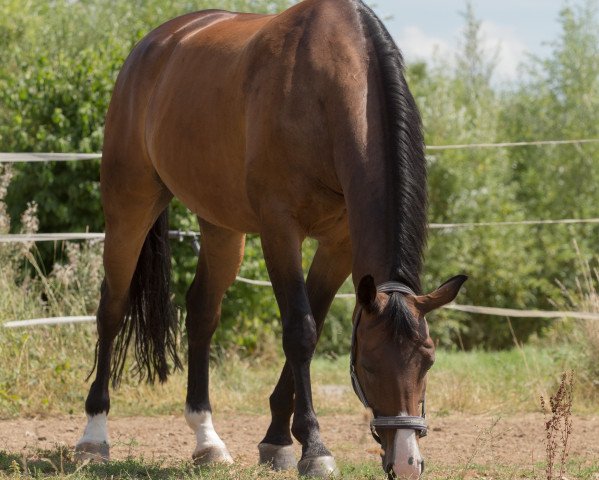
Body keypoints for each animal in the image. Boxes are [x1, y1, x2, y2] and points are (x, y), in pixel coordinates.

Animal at [75, 0, 468, 476]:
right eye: (370, 365)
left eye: (427, 360)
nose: (407, 461)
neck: (326, 89)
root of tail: (152, 46)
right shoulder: (280, 230)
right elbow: (300, 330)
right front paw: (314, 448)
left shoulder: (340, 244)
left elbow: (314, 323)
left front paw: (278, 439)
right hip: (129, 206)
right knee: (111, 309)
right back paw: (94, 435)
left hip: (222, 227)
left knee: (202, 312)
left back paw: (207, 440)